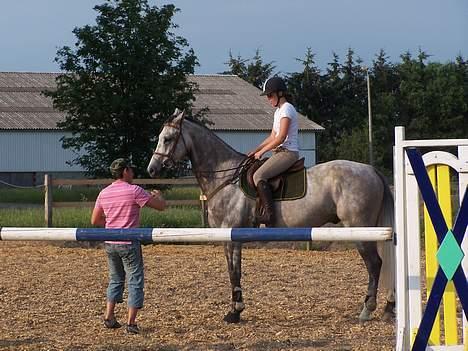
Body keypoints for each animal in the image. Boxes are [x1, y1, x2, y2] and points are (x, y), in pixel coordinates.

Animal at [147, 109, 394, 324]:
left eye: (168, 139)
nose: (152, 169)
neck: (225, 177)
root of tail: (371, 170)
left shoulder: (232, 233)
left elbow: (234, 272)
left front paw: (235, 312)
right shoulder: (229, 236)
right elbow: (234, 271)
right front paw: (236, 310)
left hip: (360, 229)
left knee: (374, 264)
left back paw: (367, 310)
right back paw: (387, 309)